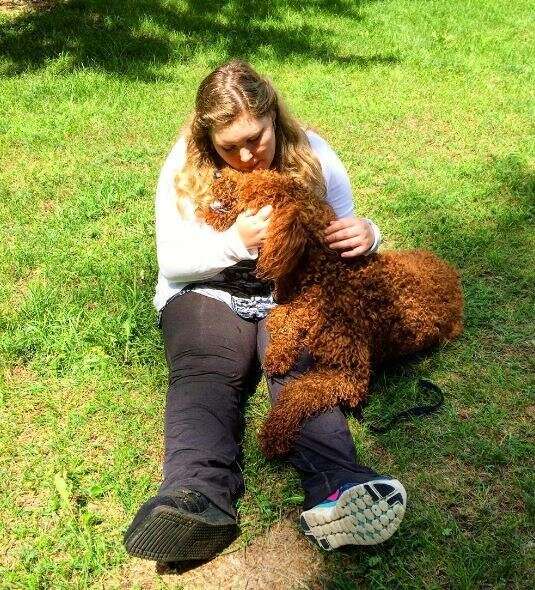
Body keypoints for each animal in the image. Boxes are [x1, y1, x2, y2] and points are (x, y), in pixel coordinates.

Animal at [198, 169, 464, 460]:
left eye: (251, 184)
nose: (217, 173)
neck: (327, 275)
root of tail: (453, 276)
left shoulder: (350, 376)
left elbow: (299, 391)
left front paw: (274, 433)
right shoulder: (298, 304)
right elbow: (283, 317)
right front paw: (279, 352)